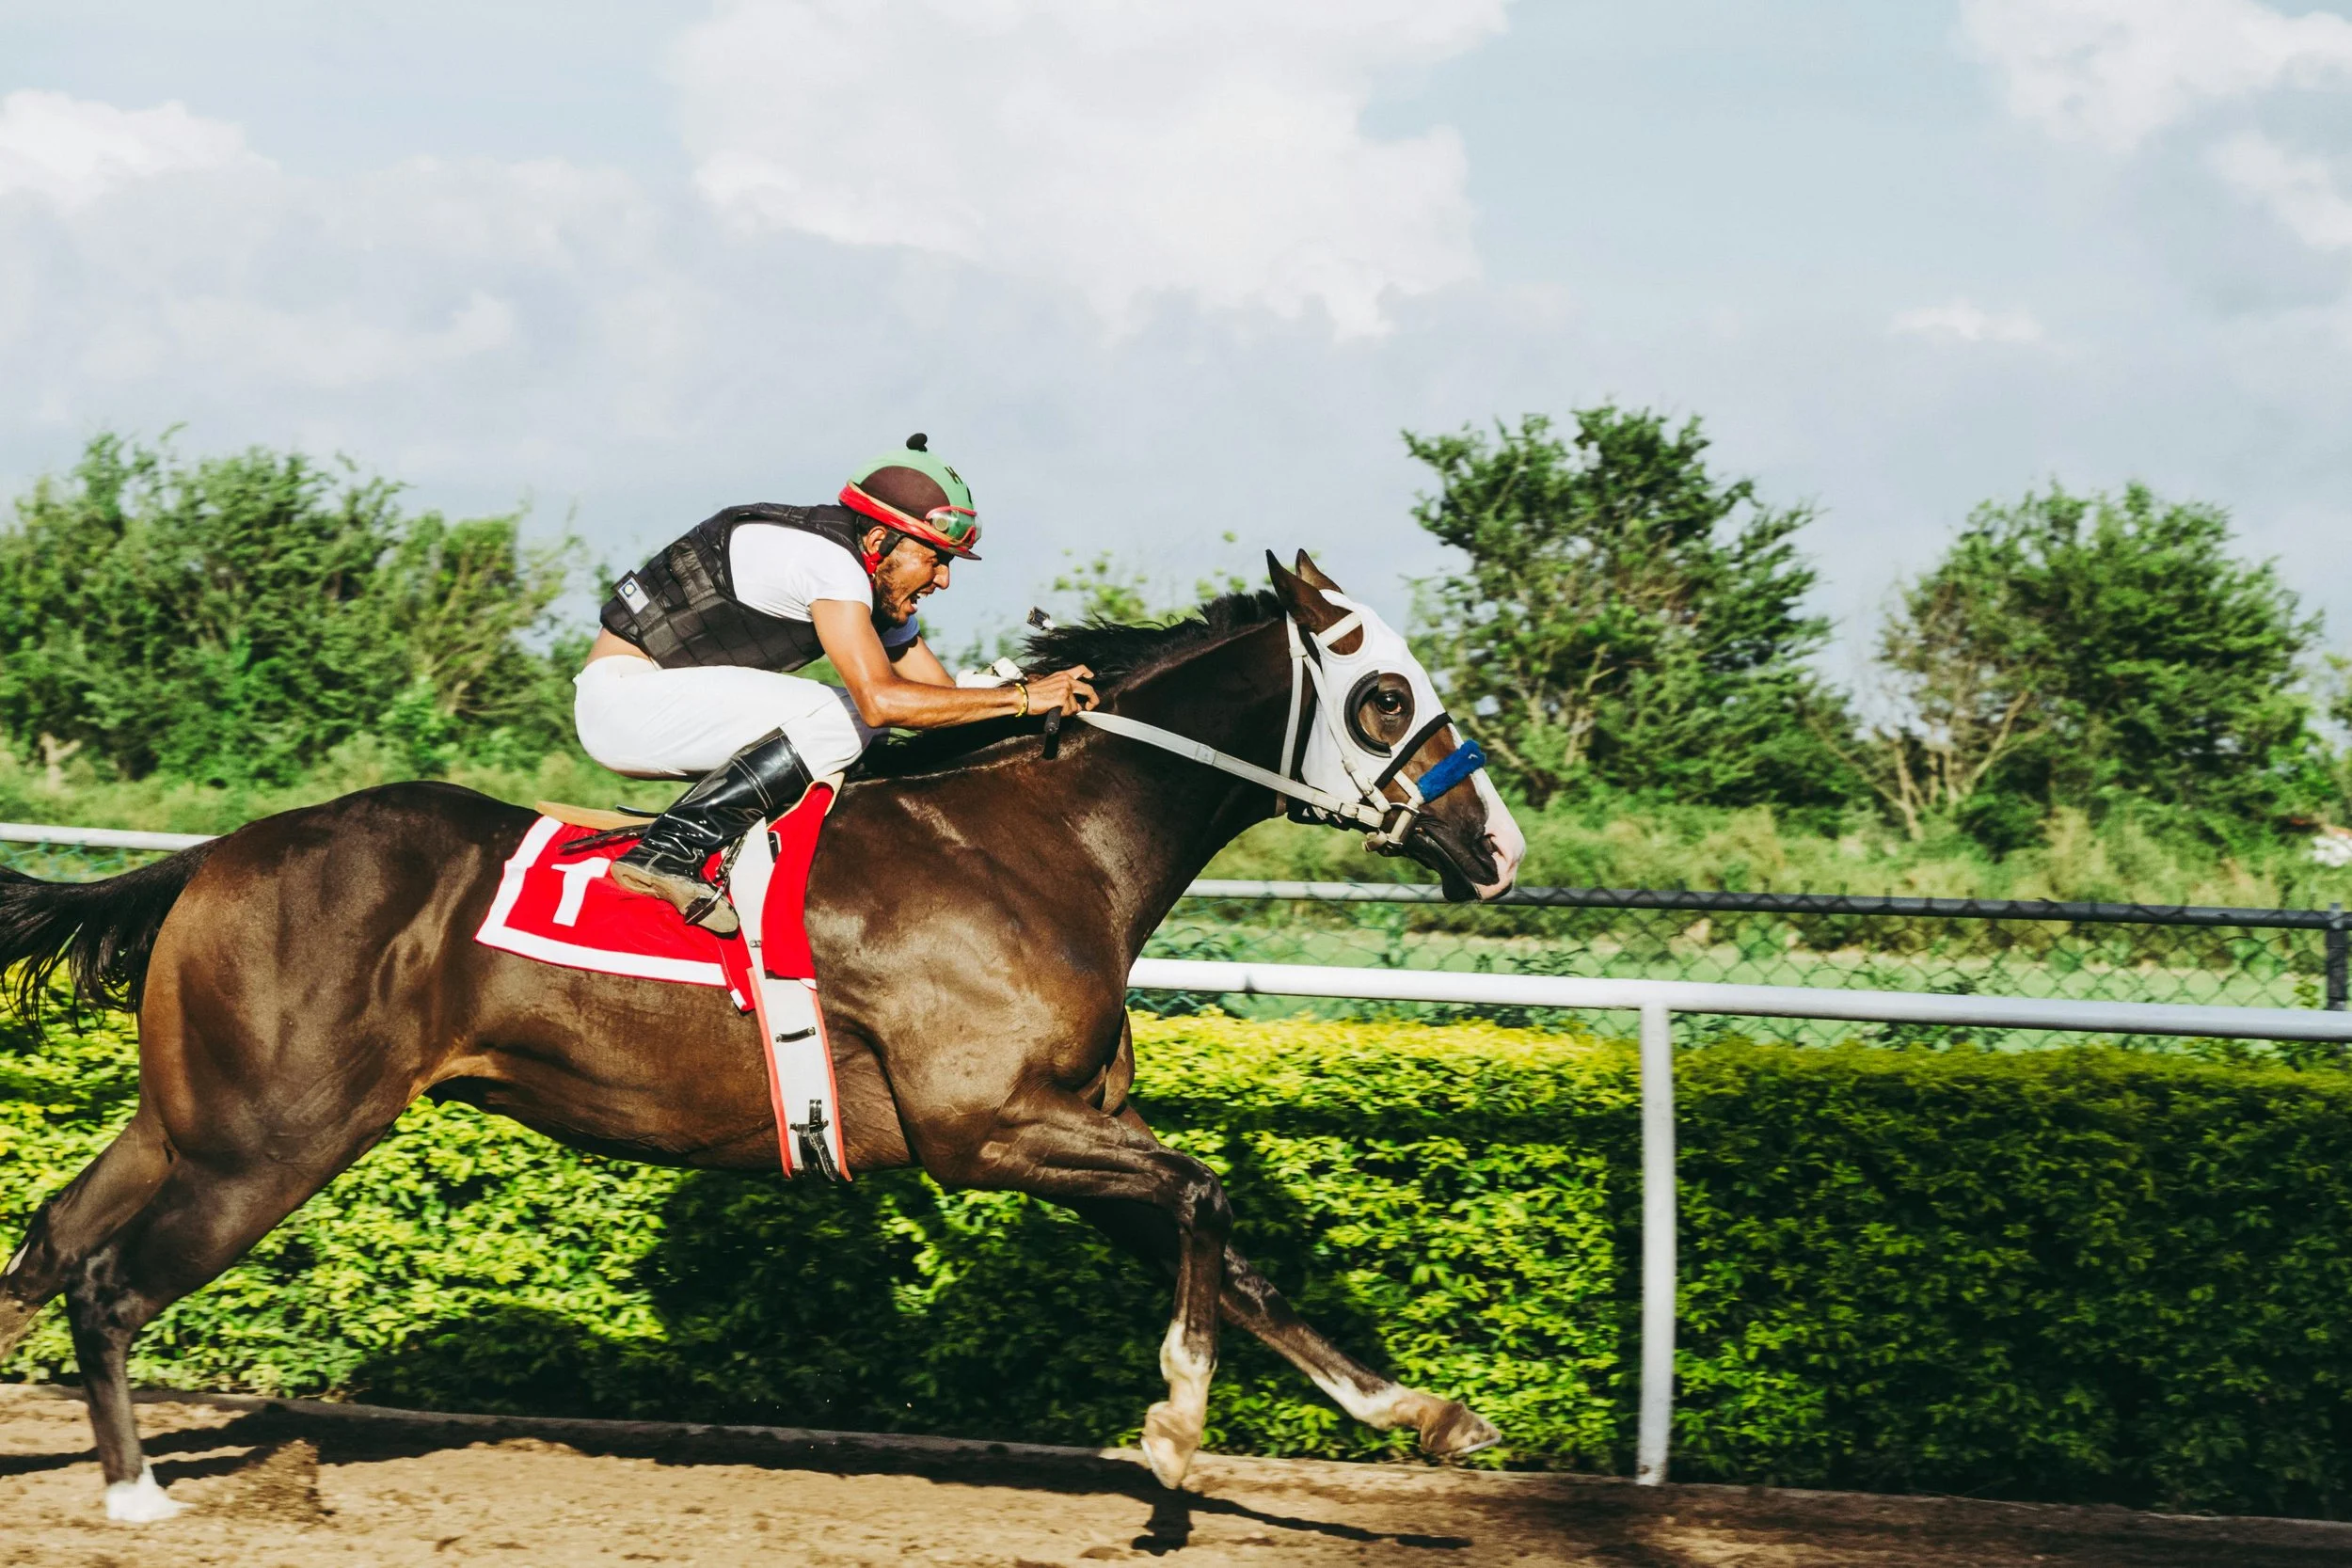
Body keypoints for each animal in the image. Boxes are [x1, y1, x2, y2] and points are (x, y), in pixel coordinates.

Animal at [0, 552, 1526, 1522]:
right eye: (1384, 694)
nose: (1498, 845)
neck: (1040, 841)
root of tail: (213, 855)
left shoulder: (1074, 1126)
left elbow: (1232, 1249)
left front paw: (1422, 1413)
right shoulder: (987, 1128)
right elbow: (1209, 1200)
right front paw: (1175, 1426)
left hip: (191, 1115)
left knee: (55, 1234)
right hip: (273, 1138)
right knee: (113, 1282)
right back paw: (134, 1492)